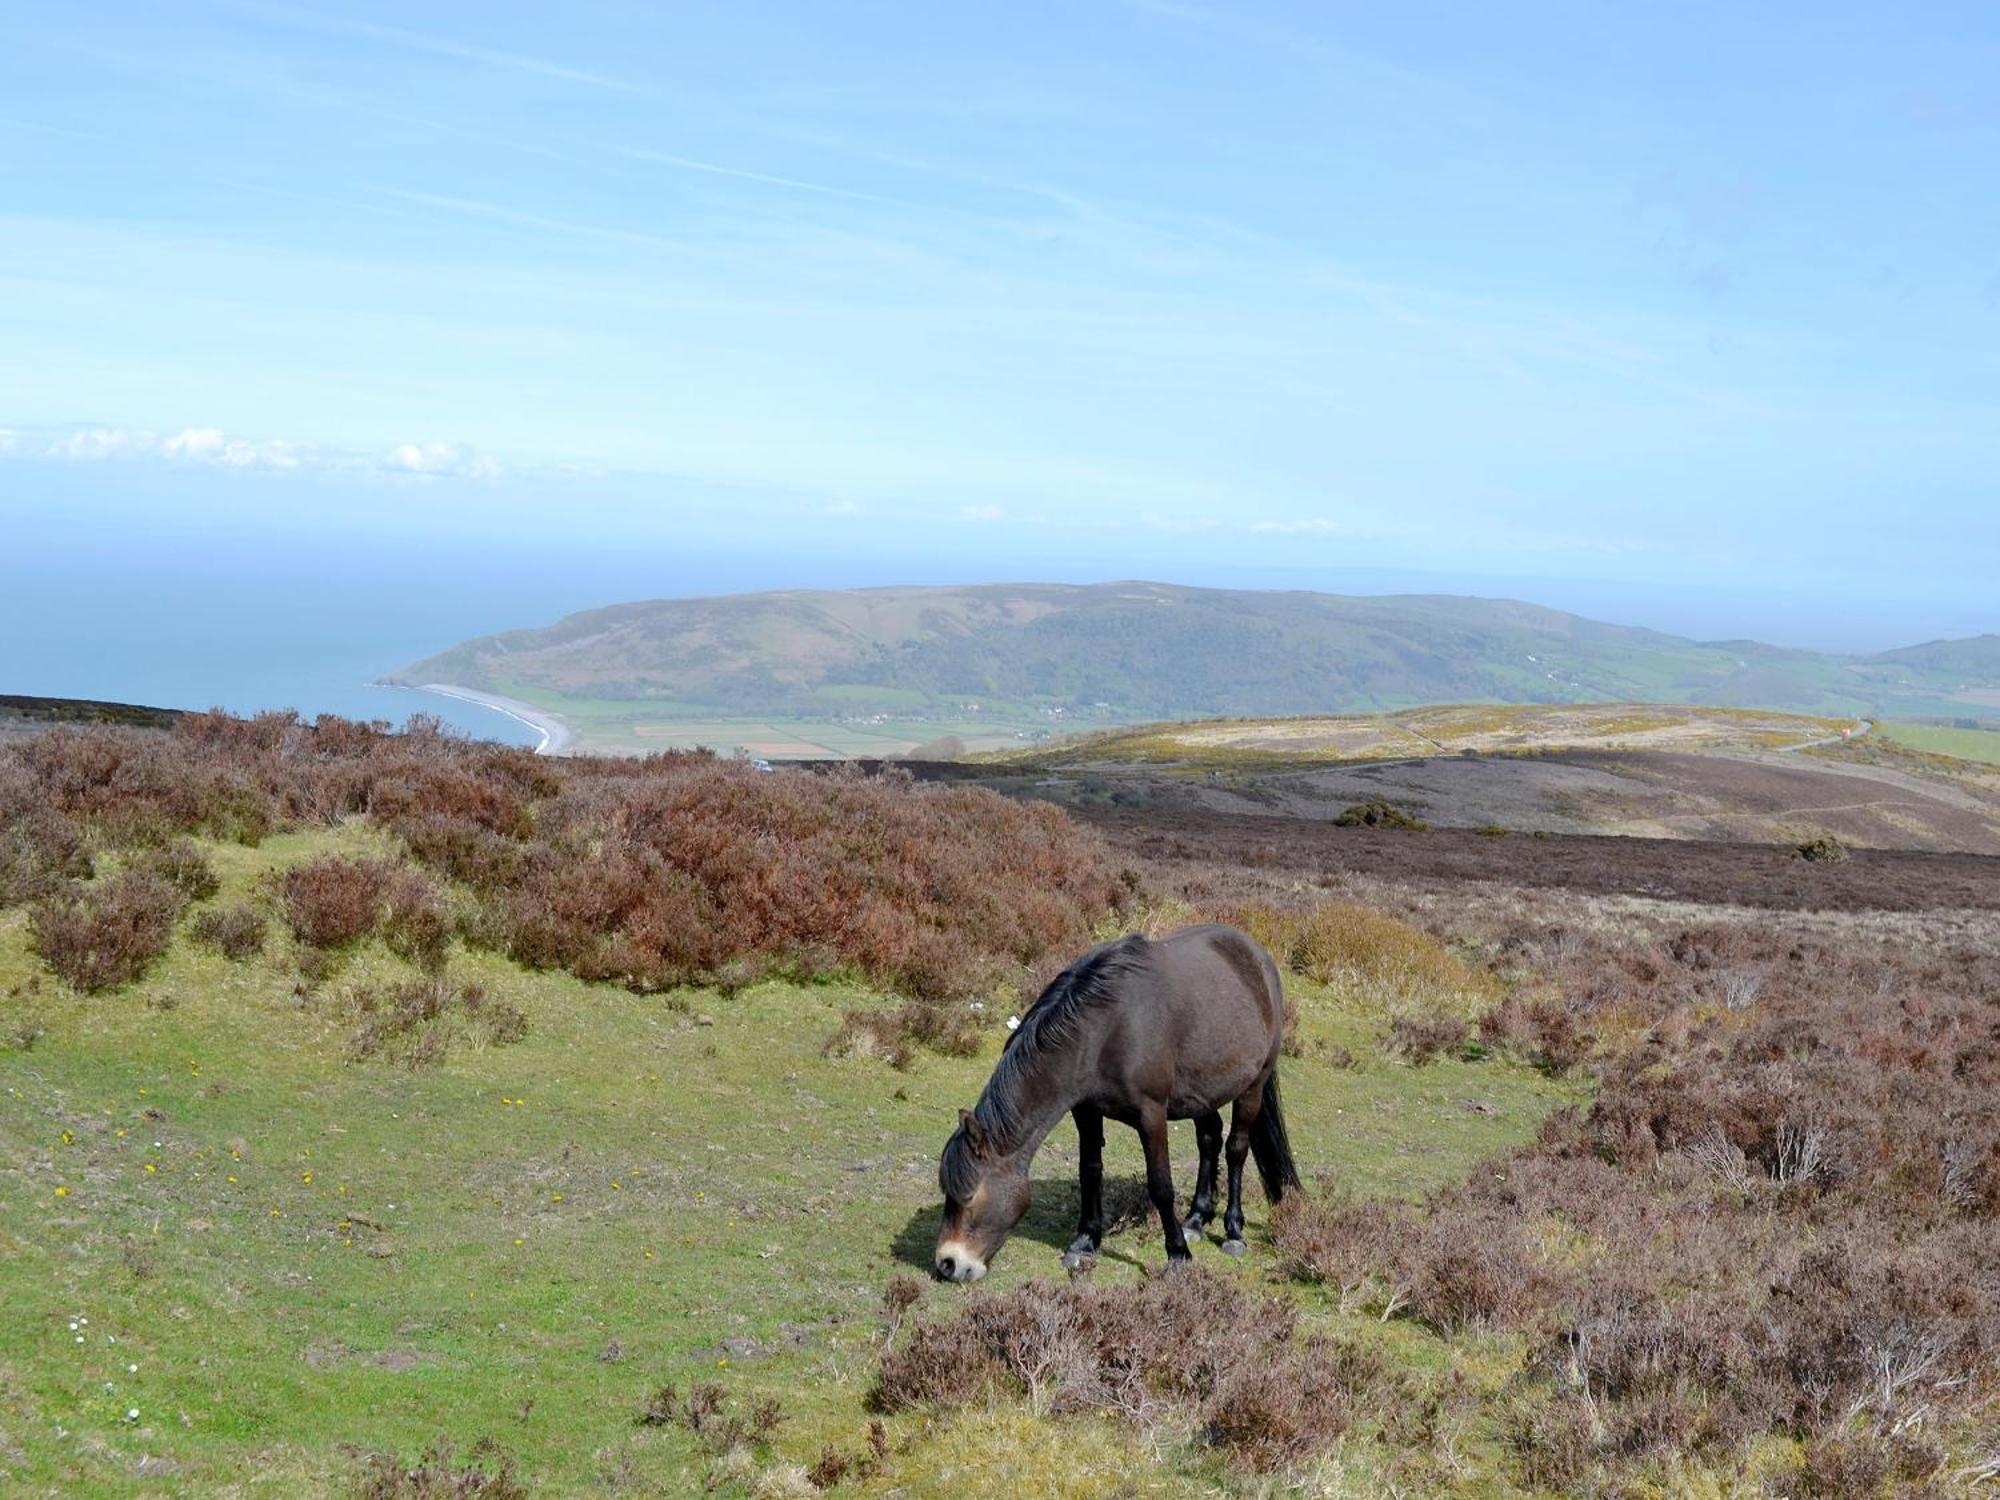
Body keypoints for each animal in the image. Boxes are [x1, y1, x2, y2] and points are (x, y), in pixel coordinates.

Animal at [932, 924, 1296, 1288]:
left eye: (969, 1196)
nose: (948, 1264)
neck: (1106, 1029)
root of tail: (1258, 958)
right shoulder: (1086, 1111)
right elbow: (1090, 1171)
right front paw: (1084, 1241)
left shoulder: (1151, 1115)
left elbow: (1161, 1185)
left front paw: (1178, 1253)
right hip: (1202, 1091)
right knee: (1209, 1140)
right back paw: (1195, 1219)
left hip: (1253, 1086)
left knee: (1236, 1150)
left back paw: (1233, 1231)